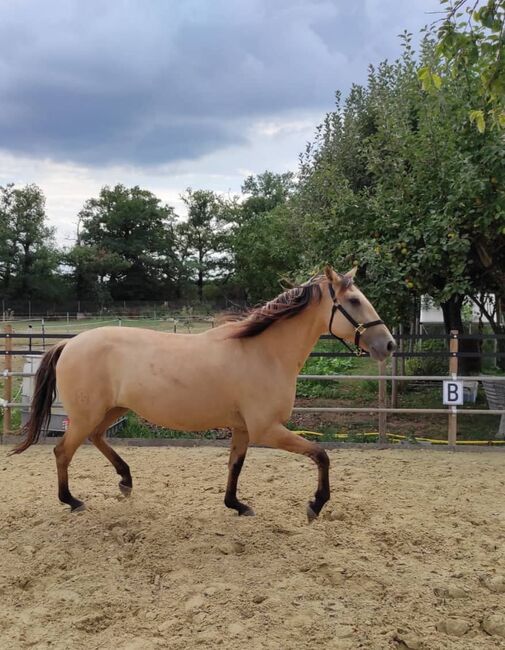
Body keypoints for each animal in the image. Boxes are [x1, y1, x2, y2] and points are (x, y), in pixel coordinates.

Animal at [10, 264, 394, 520]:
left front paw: (236, 505)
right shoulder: (266, 430)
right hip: (87, 414)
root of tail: (69, 342)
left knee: (97, 438)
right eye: (354, 301)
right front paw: (316, 504)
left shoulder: (243, 429)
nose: (388, 345)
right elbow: (321, 454)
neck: (263, 352)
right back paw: (72, 500)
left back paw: (125, 480)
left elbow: (235, 466)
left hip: (113, 410)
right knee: (63, 451)